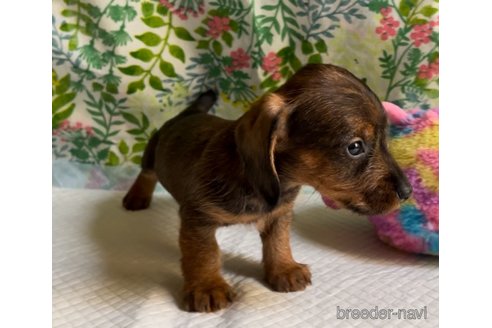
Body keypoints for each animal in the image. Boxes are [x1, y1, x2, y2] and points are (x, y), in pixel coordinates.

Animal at [122, 63, 412, 312]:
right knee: (146, 173)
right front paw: (207, 286)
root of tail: (189, 113)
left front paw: (284, 269)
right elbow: (204, 253)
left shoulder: (280, 214)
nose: (407, 192)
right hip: (151, 152)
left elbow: (278, 242)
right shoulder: (198, 219)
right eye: (355, 147)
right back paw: (136, 197)